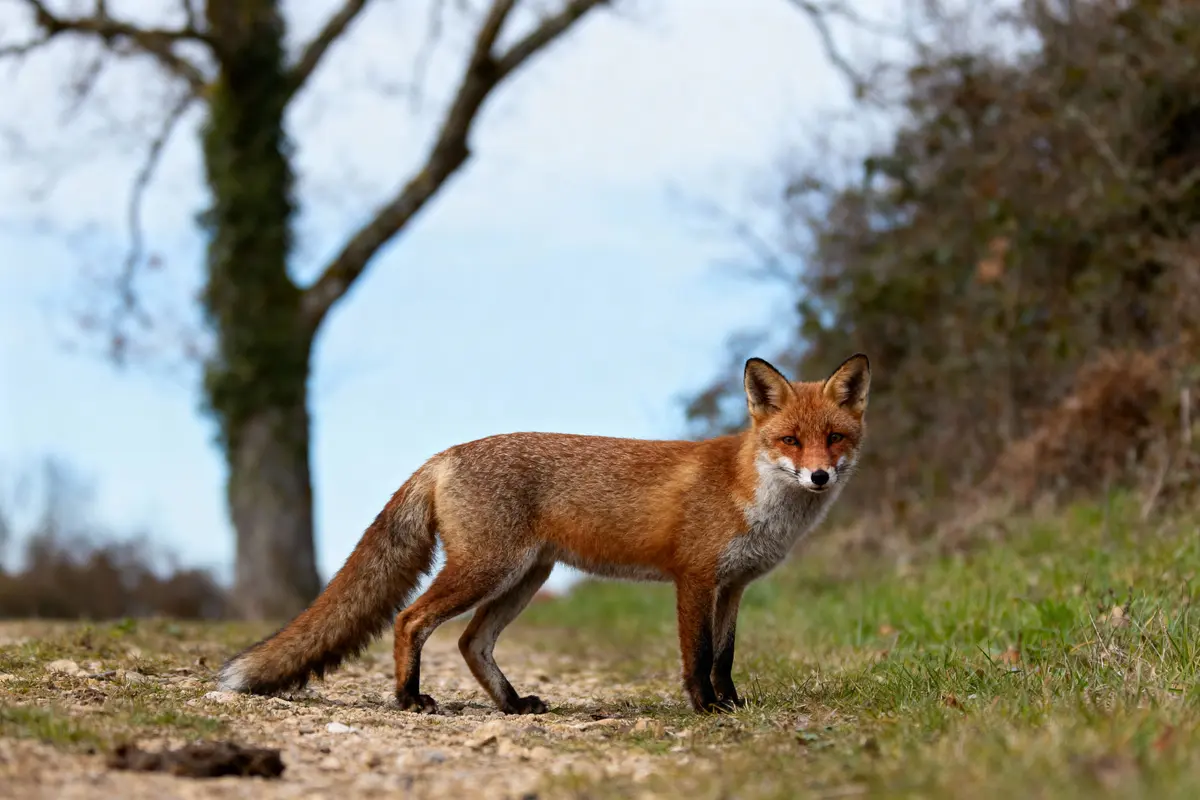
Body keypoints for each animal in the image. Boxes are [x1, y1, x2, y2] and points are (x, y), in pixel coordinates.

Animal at [218, 354, 871, 714]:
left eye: (834, 438)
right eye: (790, 440)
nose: (819, 475)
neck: (751, 491)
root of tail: (444, 454)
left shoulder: (733, 586)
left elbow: (727, 656)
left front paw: (732, 705)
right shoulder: (694, 578)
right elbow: (699, 656)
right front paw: (706, 710)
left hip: (526, 578)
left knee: (471, 642)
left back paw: (511, 705)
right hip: (487, 570)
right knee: (409, 620)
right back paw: (409, 699)